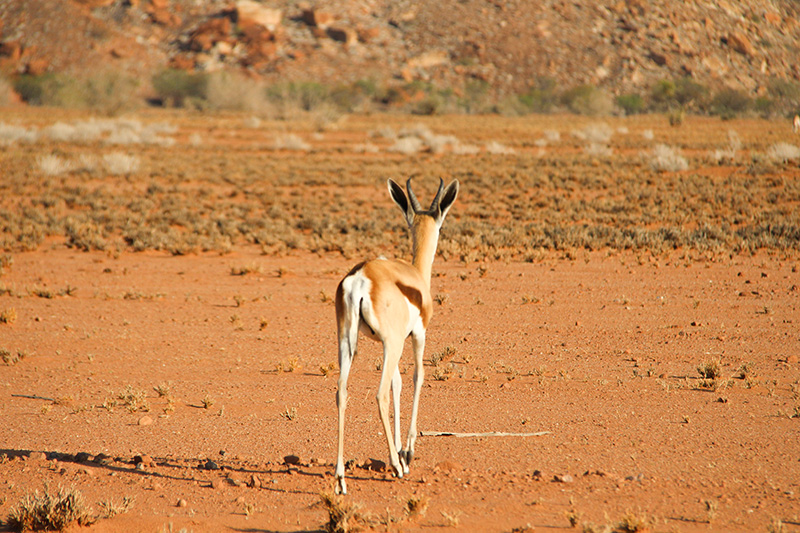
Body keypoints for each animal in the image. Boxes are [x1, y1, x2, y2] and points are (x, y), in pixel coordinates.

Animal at [332, 177, 456, 492]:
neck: (415, 276)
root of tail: (360, 277)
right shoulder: (416, 336)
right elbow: (416, 378)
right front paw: (407, 452)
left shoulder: (388, 343)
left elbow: (397, 384)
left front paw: (400, 450)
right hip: (392, 343)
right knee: (379, 394)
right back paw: (396, 466)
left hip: (348, 342)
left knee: (342, 391)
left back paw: (340, 478)